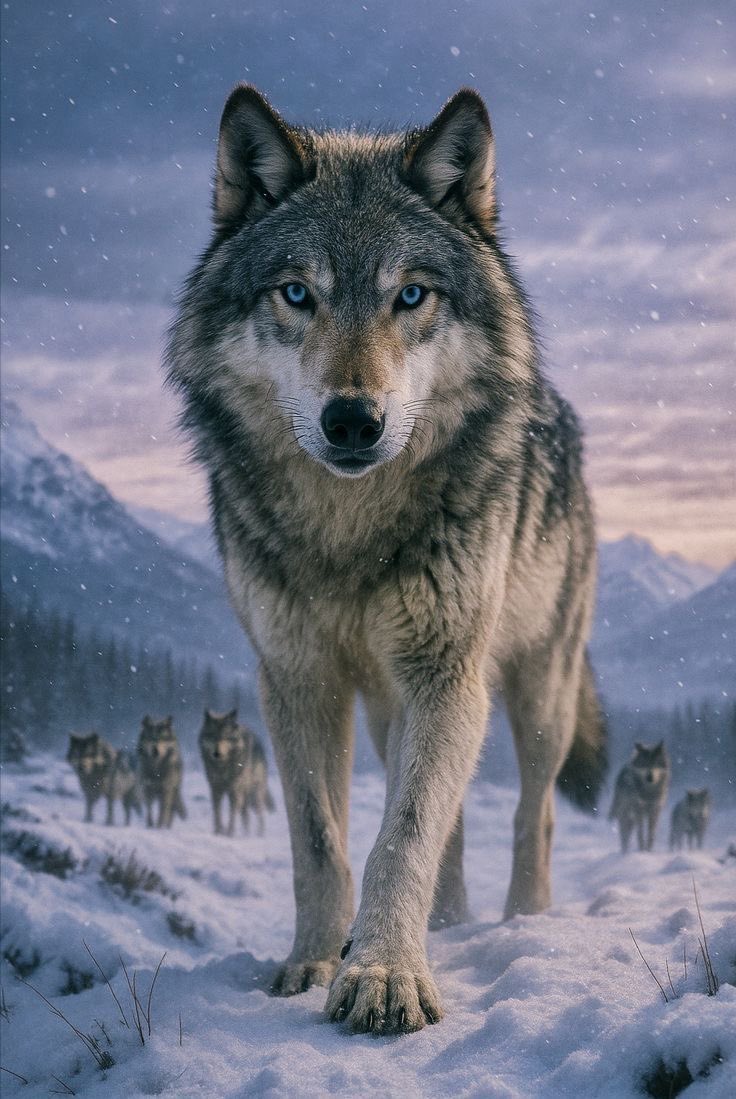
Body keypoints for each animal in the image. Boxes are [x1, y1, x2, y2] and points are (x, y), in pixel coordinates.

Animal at [166, 85, 607, 1034]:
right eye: (298, 293)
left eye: (410, 295)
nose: (352, 420)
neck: (348, 531)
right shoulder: (296, 676)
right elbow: (321, 838)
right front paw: (312, 962)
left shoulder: (445, 670)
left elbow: (402, 834)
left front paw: (385, 973)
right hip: (388, 707)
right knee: (455, 822)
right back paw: (447, 924)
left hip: (535, 692)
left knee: (533, 816)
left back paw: (521, 921)